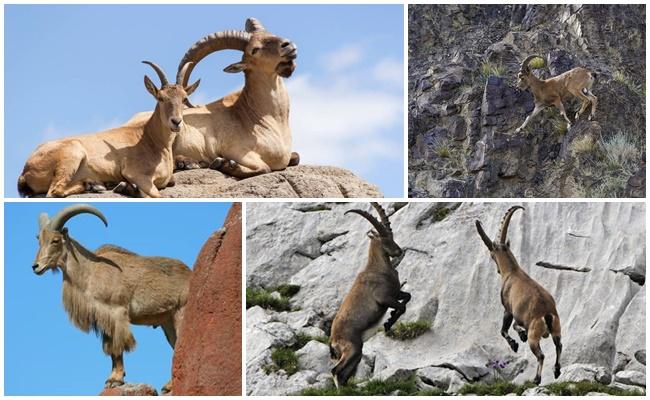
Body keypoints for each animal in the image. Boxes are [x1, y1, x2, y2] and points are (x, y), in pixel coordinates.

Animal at [32, 205, 191, 392]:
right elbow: (110, 348)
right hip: (167, 322)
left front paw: (115, 379)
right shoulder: (103, 319)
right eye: (39, 240)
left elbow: (117, 346)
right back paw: (169, 385)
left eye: (55, 240)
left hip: (180, 313)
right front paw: (112, 378)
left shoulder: (116, 312)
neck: (90, 271)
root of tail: (191, 274)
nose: (36, 266)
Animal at [130, 17, 302, 177]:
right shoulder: (236, 150)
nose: (288, 45)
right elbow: (264, 167)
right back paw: (188, 163)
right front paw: (224, 164)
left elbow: (296, 157)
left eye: (271, 34)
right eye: (254, 49)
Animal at [330, 203, 410, 388]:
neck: (379, 268)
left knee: (344, 374)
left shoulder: (395, 293)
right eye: (384, 239)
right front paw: (388, 323)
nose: (398, 251)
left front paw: (390, 320)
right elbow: (402, 306)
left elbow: (407, 297)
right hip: (351, 347)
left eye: (392, 236)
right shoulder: (383, 298)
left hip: (356, 352)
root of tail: (333, 340)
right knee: (335, 371)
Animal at [474, 206, 560, 384]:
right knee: (559, 346)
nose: (497, 269)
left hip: (535, 335)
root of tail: (547, 314)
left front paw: (516, 342)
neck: (512, 272)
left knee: (541, 355)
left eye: (492, 254)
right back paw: (556, 371)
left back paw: (536, 379)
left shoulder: (509, 309)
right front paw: (520, 336)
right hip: (557, 329)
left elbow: (505, 329)